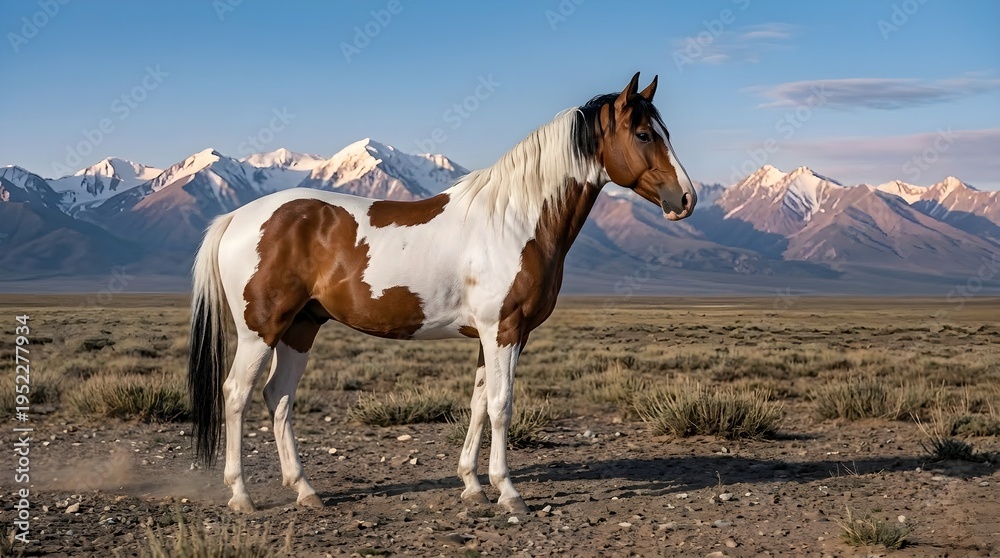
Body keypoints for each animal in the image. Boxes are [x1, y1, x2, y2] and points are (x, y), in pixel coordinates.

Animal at [188, 72, 697, 514]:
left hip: (300, 328)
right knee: (237, 395)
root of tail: (236, 217)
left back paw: (305, 490)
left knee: (279, 397)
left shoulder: (496, 336)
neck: (515, 220)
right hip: (260, 331)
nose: (686, 199)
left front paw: (472, 485)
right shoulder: (503, 330)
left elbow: (478, 404)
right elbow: (501, 405)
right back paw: (242, 496)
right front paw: (508, 492)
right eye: (644, 134)